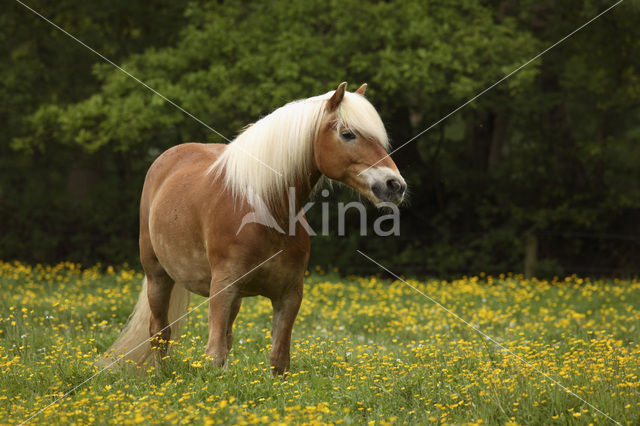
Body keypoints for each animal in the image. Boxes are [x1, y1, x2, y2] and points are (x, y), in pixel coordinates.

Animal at [102, 81, 408, 374]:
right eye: (348, 134)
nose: (395, 185)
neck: (266, 213)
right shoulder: (222, 289)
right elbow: (213, 355)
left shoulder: (289, 295)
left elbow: (278, 360)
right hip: (158, 276)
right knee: (159, 332)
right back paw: (162, 376)